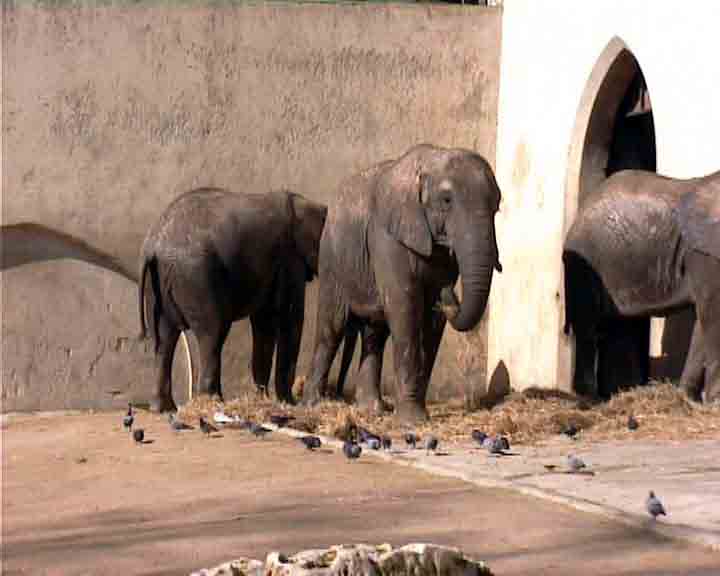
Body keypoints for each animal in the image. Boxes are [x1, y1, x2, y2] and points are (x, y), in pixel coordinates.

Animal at [138, 187, 327, 413]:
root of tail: (154, 247)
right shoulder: (290, 258)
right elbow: (289, 318)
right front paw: (288, 403)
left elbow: (265, 322)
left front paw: (262, 399)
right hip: (196, 277)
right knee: (212, 333)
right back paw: (212, 402)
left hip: (156, 286)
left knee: (164, 339)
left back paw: (164, 408)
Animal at [302, 143, 503, 423]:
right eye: (447, 200)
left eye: (497, 206)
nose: (449, 294)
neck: (431, 160)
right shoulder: (387, 237)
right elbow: (405, 308)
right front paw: (412, 420)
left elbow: (431, 323)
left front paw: (416, 412)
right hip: (333, 258)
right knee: (332, 326)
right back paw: (313, 404)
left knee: (375, 332)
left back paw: (372, 409)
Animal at [563, 168, 720, 403]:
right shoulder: (704, 254)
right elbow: (713, 316)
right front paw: (714, 403)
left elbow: (703, 323)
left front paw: (688, 399)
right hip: (583, 264)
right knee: (588, 327)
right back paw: (592, 399)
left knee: (617, 326)